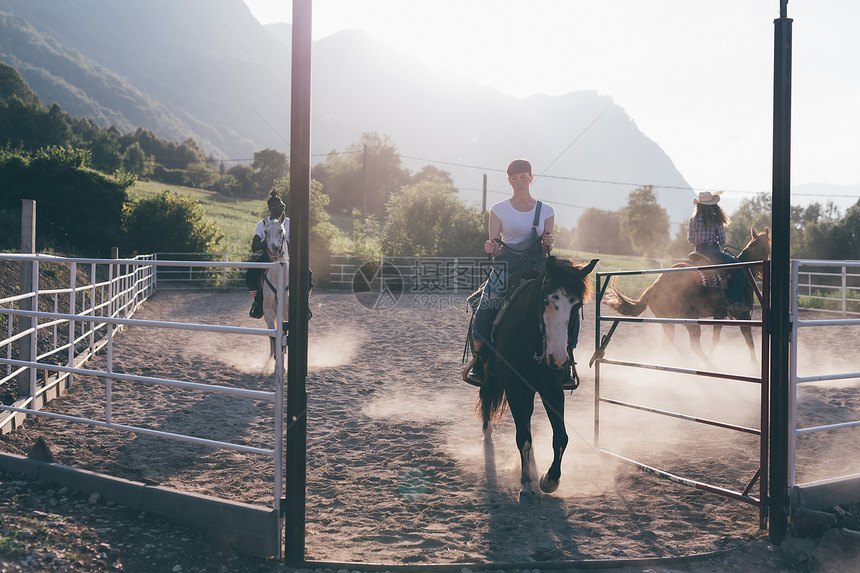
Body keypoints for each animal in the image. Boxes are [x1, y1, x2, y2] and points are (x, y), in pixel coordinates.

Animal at [480, 256, 600, 498]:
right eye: (546, 301)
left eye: (577, 305)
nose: (558, 358)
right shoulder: (515, 387)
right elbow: (522, 437)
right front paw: (526, 483)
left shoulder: (551, 389)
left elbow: (561, 437)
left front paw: (549, 479)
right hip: (490, 375)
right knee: (486, 395)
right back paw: (487, 436)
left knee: (527, 417)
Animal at [604, 227, 772, 364]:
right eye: (769, 245)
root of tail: (654, 287)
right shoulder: (742, 313)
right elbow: (749, 341)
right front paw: (755, 367)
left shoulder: (720, 314)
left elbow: (716, 339)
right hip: (690, 319)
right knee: (694, 345)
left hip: (668, 322)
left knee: (668, 345)